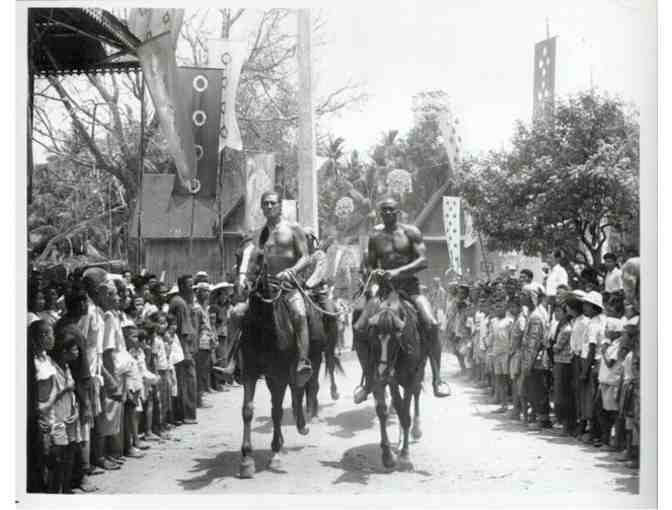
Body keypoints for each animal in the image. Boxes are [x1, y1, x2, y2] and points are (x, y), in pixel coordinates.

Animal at [236, 239, 342, 478]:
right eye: (238, 255)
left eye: (259, 257)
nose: (242, 287)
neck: (265, 326)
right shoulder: (250, 371)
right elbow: (247, 410)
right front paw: (246, 459)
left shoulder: (279, 375)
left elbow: (276, 411)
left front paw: (275, 453)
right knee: (299, 390)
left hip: (315, 356)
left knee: (309, 384)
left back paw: (307, 419)